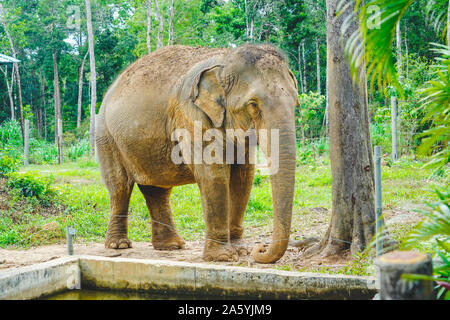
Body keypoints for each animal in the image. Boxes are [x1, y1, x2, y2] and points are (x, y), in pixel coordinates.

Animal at [96, 43, 298, 264]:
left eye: (295, 102)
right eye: (253, 104)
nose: (260, 248)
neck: (224, 61)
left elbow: (243, 176)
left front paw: (241, 251)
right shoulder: (191, 115)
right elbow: (213, 174)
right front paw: (223, 257)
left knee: (157, 189)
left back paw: (171, 246)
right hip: (106, 136)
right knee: (120, 187)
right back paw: (119, 245)